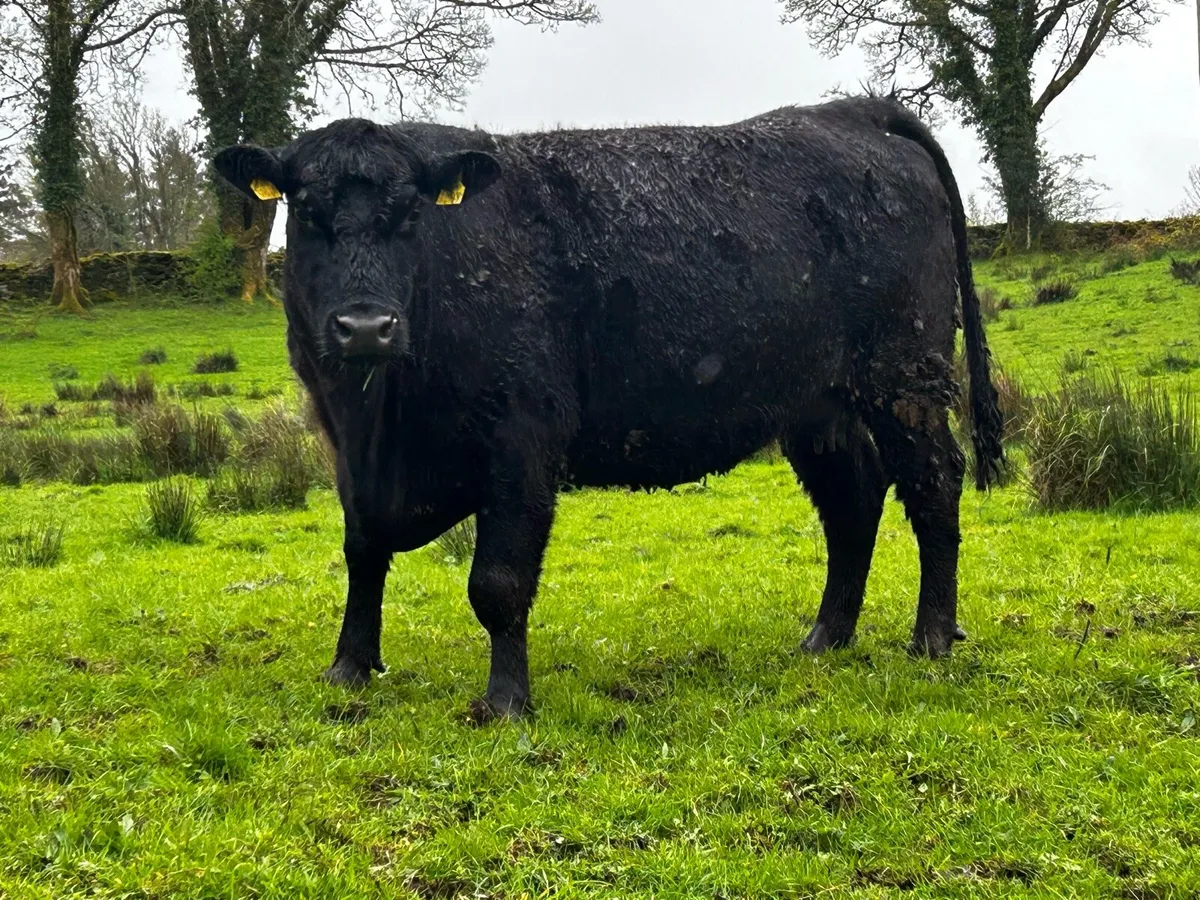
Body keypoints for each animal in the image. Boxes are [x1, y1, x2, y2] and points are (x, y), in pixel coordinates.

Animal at [214, 97, 1004, 721]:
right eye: (306, 212)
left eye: (410, 214)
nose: (365, 327)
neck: (386, 421)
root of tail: (851, 110)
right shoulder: (345, 446)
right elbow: (362, 553)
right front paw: (348, 667)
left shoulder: (523, 440)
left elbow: (497, 583)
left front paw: (506, 701)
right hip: (818, 405)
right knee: (853, 502)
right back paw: (825, 637)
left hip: (905, 376)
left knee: (934, 484)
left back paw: (933, 636)